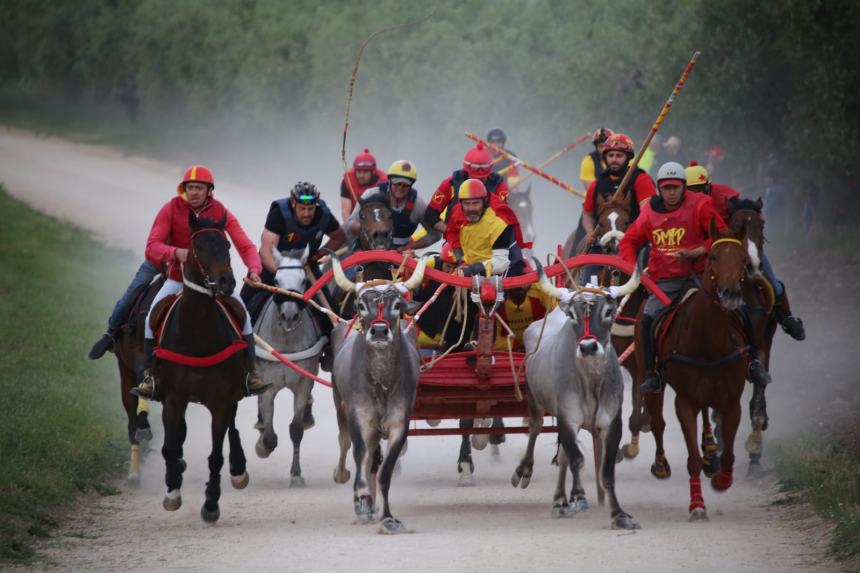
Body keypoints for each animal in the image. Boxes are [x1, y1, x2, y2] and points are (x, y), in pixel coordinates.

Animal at [155, 212, 250, 520]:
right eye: (199, 247)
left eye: (227, 246)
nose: (225, 282)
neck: (197, 335)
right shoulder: (173, 398)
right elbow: (170, 446)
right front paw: (172, 490)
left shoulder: (221, 400)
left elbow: (216, 455)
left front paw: (211, 503)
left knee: (232, 426)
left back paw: (238, 469)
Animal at [636, 222, 756, 520]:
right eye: (713, 256)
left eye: (743, 259)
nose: (730, 295)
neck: (708, 343)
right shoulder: (685, 401)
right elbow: (690, 458)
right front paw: (697, 505)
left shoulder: (731, 400)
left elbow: (729, 453)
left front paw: (721, 479)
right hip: (647, 372)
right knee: (657, 421)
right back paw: (662, 464)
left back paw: (710, 456)